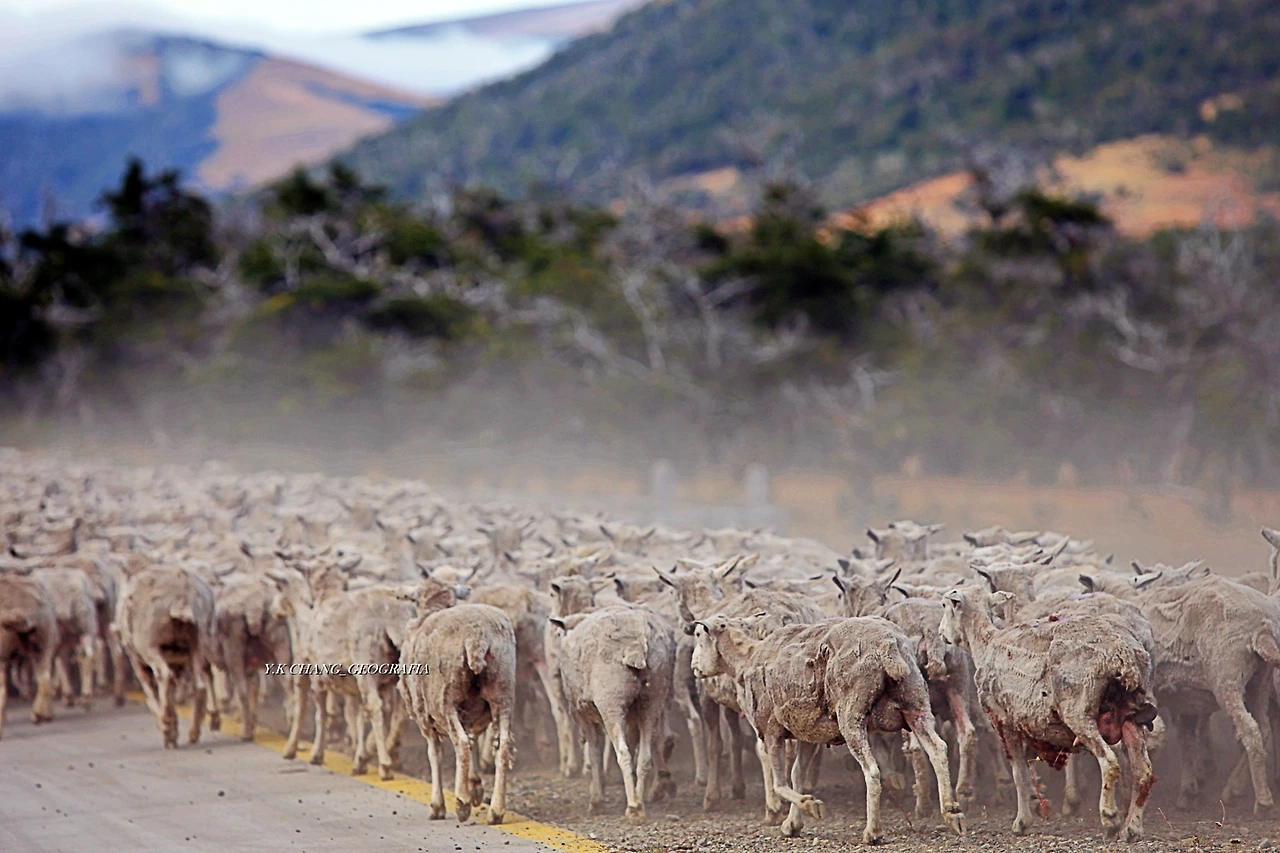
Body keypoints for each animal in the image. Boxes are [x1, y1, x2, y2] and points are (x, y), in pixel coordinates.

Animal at [399, 602, 517, 824]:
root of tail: (476, 637)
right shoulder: (472, 718)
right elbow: (473, 743)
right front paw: (475, 787)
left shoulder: (424, 718)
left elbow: (435, 754)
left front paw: (437, 806)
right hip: (502, 694)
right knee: (503, 746)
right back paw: (496, 810)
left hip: (445, 698)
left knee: (460, 744)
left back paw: (462, 803)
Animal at [691, 612, 966, 843]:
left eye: (698, 635)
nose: (694, 666)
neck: (747, 657)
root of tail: (889, 645)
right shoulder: (810, 732)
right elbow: (797, 775)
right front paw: (793, 824)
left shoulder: (770, 730)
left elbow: (780, 783)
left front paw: (810, 805)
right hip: (915, 702)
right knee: (938, 749)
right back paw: (952, 813)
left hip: (851, 713)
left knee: (872, 771)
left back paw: (873, 832)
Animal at [939, 586, 1157, 839]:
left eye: (945, 605)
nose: (941, 633)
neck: (984, 643)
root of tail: (1121, 654)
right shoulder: (1025, 724)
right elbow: (1026, 768)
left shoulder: (1003, 720)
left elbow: (1019, 773)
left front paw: (1022, 822)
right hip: (1131, 713)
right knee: (1143, 772)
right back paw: (1132, 828)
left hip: (1078, 711)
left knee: (1110, 762)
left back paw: (1110, 818)